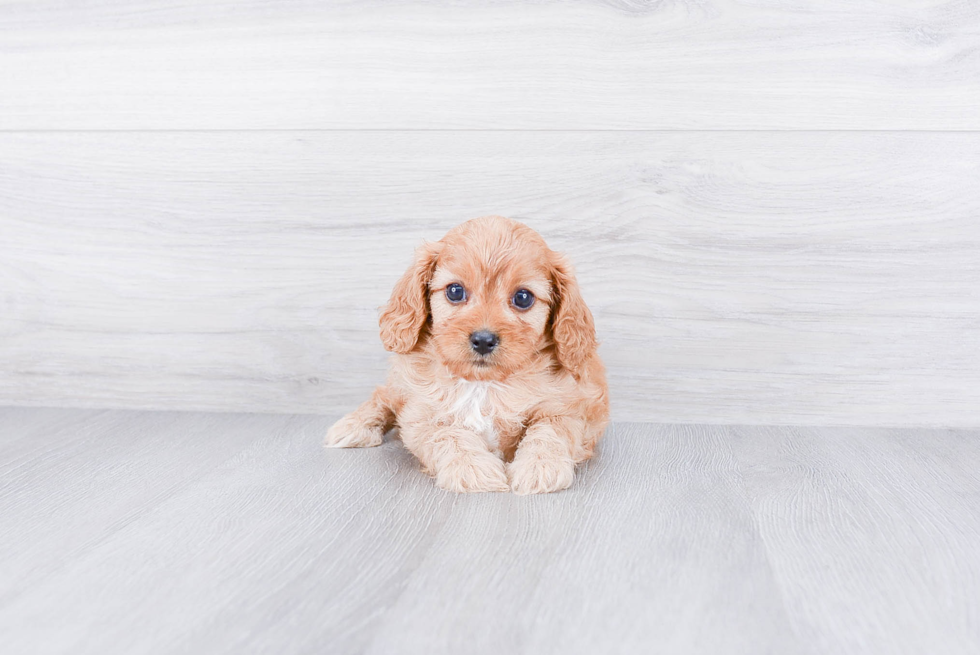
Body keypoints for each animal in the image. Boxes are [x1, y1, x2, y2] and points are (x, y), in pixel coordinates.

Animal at [326, 218, 608, 494]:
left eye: (523, 297)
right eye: (455, 291)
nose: (483, 340)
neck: (483, 384)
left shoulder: (569, 408)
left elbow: (551, 432)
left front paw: (540, 467)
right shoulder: (421, 413)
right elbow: (449, 434)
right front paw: (473, 469)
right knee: (382, 396)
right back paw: (353, 426)